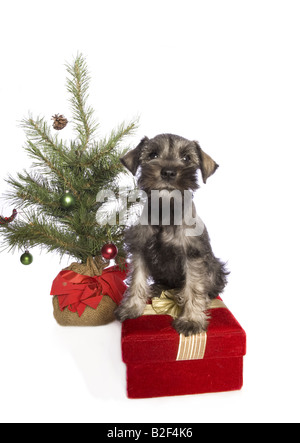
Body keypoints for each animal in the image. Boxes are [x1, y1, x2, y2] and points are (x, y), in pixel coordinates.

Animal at [115, 133, 227, 336]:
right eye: (152, 155)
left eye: (186, 158)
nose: (168, 172)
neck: (165, 213)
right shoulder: (140, 250)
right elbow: (137, 280)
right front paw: (132, 307)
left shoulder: (193, 256)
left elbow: (194, 287)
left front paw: (191, 320)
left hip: (214, 267)